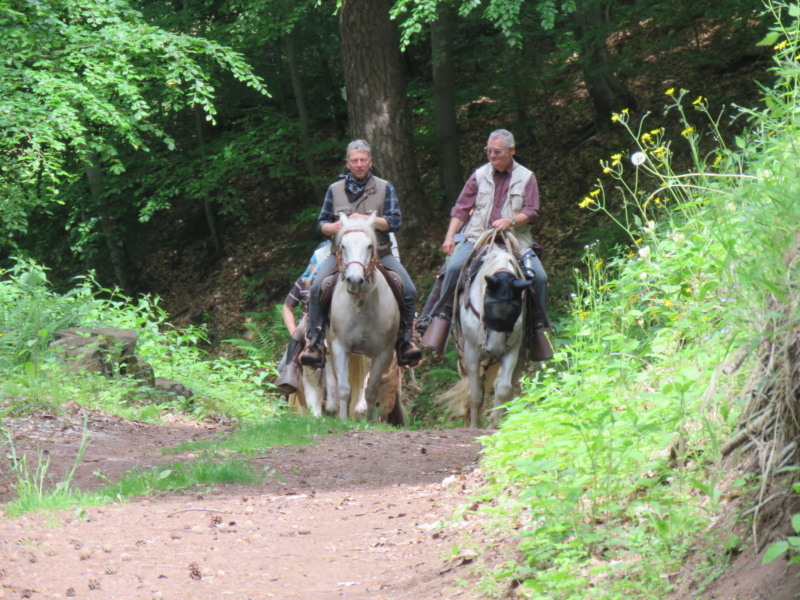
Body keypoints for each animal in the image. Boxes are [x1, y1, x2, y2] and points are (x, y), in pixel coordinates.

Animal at [324, 214, 400, 422]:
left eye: (369, 246)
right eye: (343, 245)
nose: (355, 280)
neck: (361, 305)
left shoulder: (384, 353)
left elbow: (371, 390)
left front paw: (371, 421)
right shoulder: (340, 346)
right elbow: (343, 388)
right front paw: (343, 420)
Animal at [450, 229, 532, 426]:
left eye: (515, 311)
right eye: (488, 306)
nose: (494, 350)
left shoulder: (512, 350)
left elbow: (503, 389)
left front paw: (495, 425)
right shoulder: (471, 352)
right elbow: (475, 393)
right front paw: (474, 426)